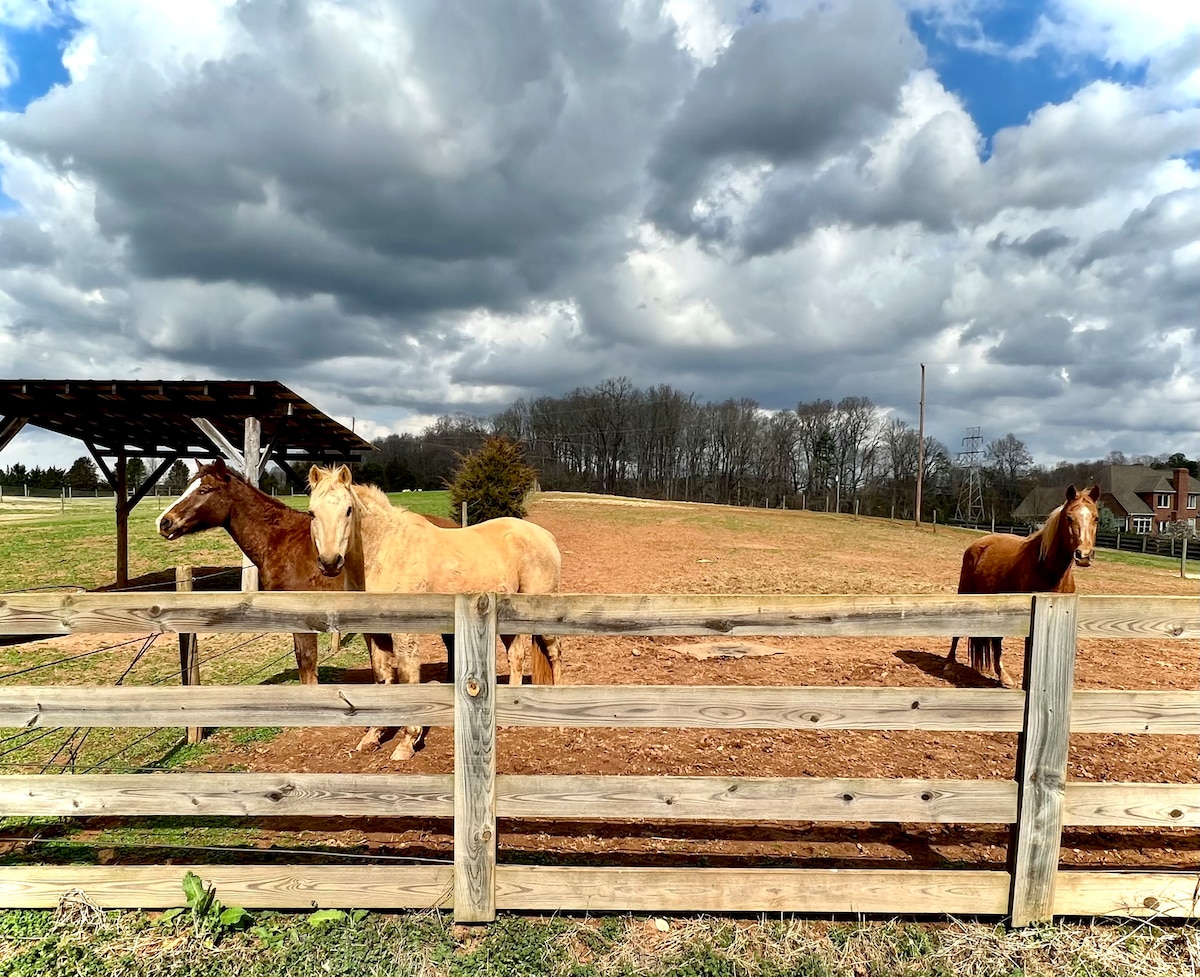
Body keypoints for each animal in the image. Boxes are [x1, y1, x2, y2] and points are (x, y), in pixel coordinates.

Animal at [304, 463, 556, 763]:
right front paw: (373, 736)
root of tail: (545, 537)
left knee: (554, 654)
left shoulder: (405, 633)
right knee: (516, 656)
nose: (330, 562)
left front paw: (407, 743)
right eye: (312, 512)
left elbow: (407, 677)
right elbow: (381, 677)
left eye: (348, 510)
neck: (384, 553)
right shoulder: (373, 633)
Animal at [940, 484, 1099, 686]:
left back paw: (1003, 676)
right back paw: (949, 664)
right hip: (966, 592)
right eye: (1069, 517)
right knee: (959, 632)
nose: (1084, 555)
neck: (1046, 567)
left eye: (1096, 518)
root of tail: (979, 543)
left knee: (996, 640)